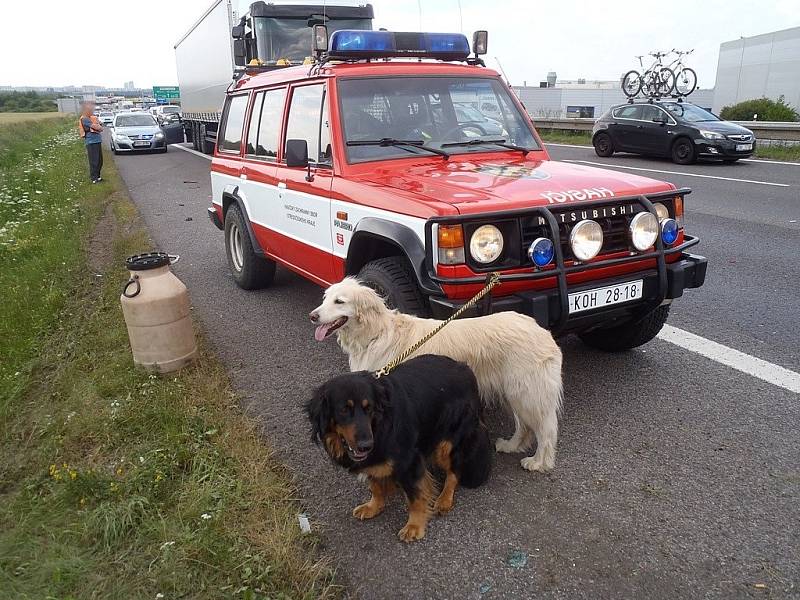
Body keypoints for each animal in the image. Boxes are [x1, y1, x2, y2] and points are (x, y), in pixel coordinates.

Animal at [308, 354, 490, 540]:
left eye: (369, 408)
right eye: (344, 410)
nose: (366, 446)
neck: (377, 425)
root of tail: (466, 368)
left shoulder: (410, 460)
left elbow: (415, 497)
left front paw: (414, 526)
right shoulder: (372, 459)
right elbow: (375, 486)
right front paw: (373, 507)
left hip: (449, 441)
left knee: (454, 471)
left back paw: (444, 499)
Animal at [310, 278, 564, 474]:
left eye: (339, 301)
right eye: (325, 298)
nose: (313, 316)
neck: (377, 333)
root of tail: (541, 330)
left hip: (527, 393)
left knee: (546, 429)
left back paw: (539, 462)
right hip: (515, 392)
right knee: (525, 426)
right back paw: (511, 445)